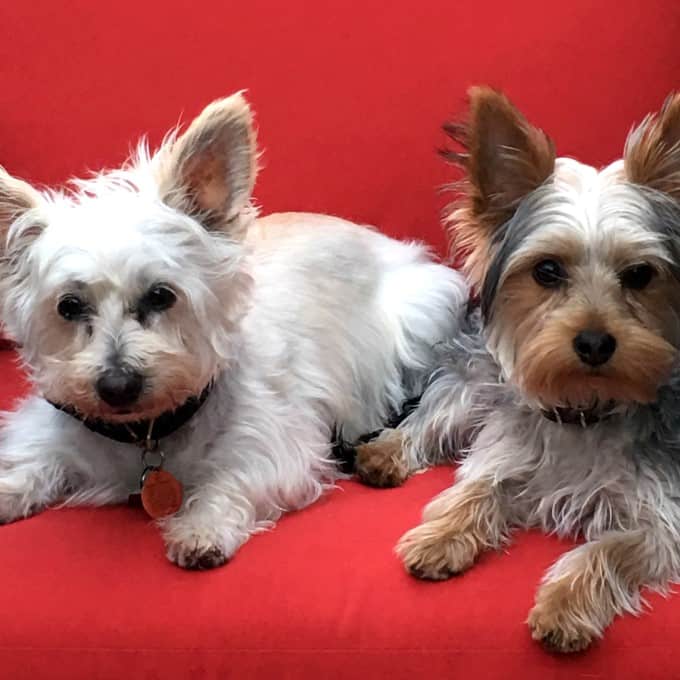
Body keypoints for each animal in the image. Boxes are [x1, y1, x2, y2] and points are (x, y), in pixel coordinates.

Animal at [0, 91, 468, 568]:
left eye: (161, 296)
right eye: (69, 306)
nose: (117, 386)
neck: (148, 433)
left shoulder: (277, 445)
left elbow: (231, 481)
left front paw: (201, 527)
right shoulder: (53, 431)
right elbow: (29, 462)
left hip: (421, 315)